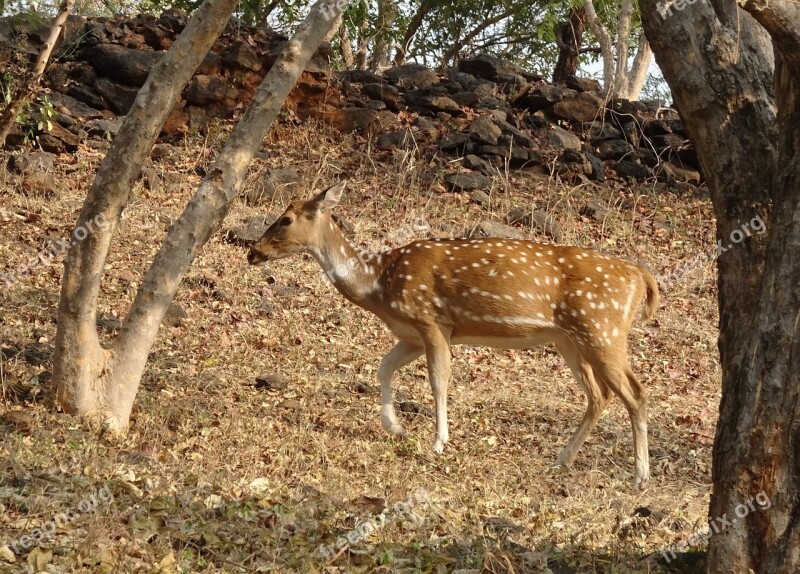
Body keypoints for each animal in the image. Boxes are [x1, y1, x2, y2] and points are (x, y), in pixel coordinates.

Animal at [247, 182, 660, 488]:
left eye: (285, 219)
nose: (253, 252)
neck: (379, 285)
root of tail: (642, 277)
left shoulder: (432, 321)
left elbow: (438, 380)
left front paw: (438, 442)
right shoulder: (411, 333)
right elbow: (384, 367)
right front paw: (396, 427)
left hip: (601, 329)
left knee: (636, 392)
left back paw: (640, 476)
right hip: (569, 339)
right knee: (599, 394)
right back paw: (562, 460)